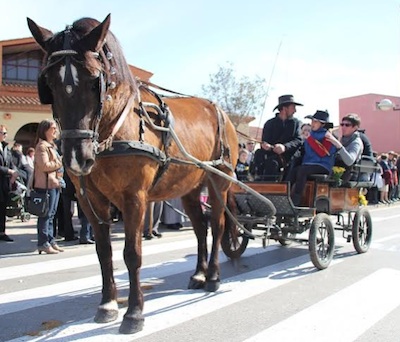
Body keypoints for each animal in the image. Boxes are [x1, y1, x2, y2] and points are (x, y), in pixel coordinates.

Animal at [27, 14, 238, 336]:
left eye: (94, 81)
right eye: (48, 83)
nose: (76, 158)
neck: (113, 129)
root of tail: (221, 112)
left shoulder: (134, 198)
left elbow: (132, 253)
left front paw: (134, 312)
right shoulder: (91, 201)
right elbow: (104, 252)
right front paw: (107, 305)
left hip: (218, 183)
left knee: (216, 224)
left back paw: (213, 276)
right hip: (189, 189)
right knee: (200, 228)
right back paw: (199, 275)